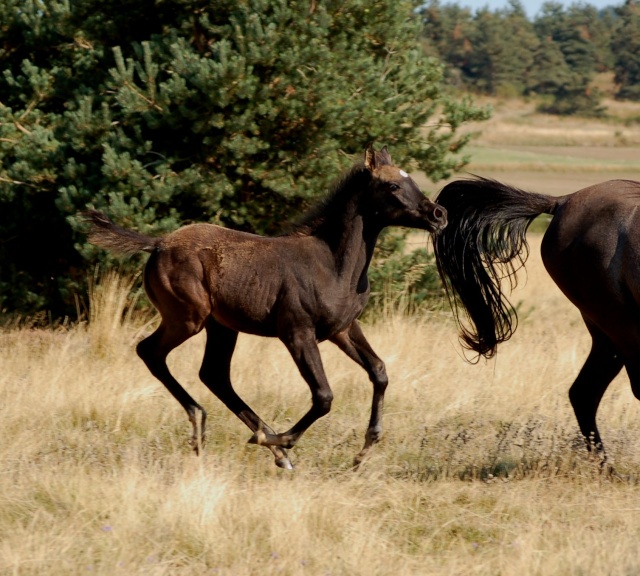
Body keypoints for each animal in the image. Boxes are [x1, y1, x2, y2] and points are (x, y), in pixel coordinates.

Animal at [84, 144, 444, 468]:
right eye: (393, 185)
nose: (439, 215)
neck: (332, 264)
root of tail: (157, 244)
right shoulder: (297, 332)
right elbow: (324, 396)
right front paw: (279, 438)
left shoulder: (341, 329)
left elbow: (379, 371)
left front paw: (363, 451)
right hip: (188, 318)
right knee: (151, 352)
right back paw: (217, 427)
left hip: (221, 326)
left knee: (213, 374)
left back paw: (266, 449)